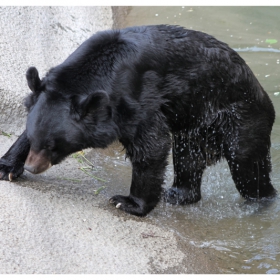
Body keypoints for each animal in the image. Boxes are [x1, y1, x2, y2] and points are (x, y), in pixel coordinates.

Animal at [0, 24, 276, 217]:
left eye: (53, 146)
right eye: (36, 140)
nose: (33, 166)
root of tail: (264, 96)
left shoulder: (138, 99)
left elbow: (151, 145)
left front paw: (128, 202)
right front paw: (8, 166)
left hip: (241, 119)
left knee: (248, 169)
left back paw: (260, 201)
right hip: (194, 128)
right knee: (188, 159)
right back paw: (177, 194)